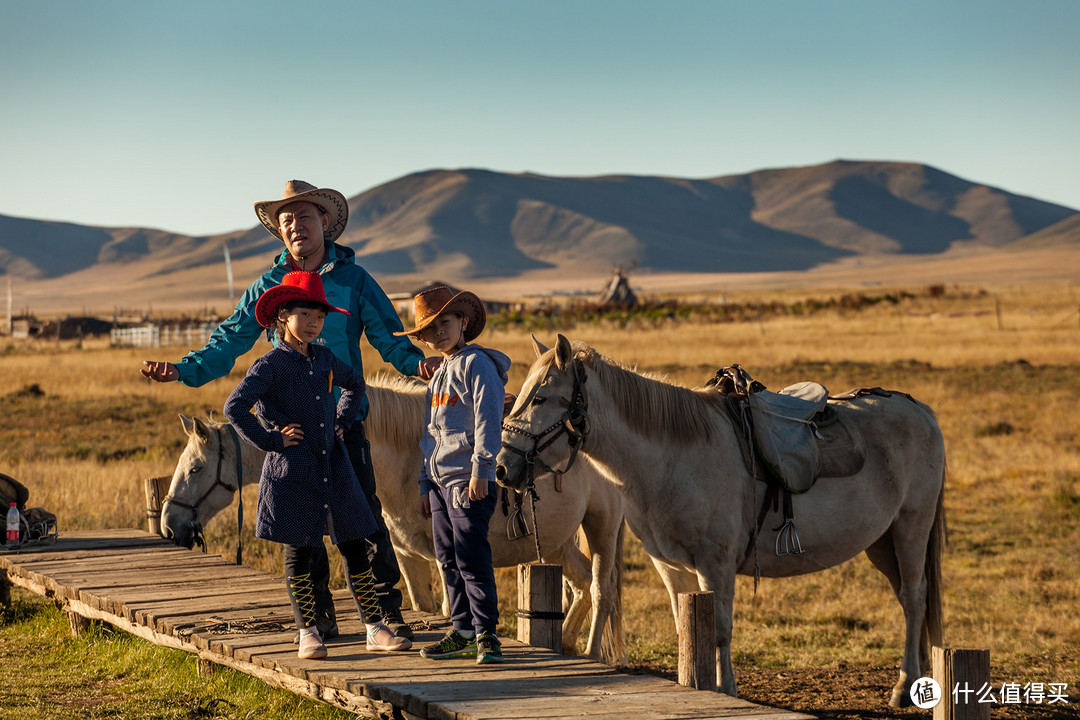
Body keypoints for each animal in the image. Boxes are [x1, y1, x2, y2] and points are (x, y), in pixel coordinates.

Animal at [157, 371, 626, 664]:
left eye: (195, 469)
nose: (168, 525)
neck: (405, 456)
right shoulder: (408, 553)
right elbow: (421, 605)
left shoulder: (442, 550)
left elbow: (447, 602)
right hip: (560, 543)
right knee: (579, 588)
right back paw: (567, 643)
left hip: (602, 528)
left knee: (600, 591)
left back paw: (590, 654)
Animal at [496, 334, 946, 708]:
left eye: (540, 399)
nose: (501, 467)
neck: (672, 458)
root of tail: (922, 411)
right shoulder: (671, 566)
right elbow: (686, 627)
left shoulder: (716, 564)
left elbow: (720, 630)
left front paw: (725, 689)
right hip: (881, 542)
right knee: (908, 599)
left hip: (911, 527)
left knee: (913, 597)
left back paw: (903, 686)